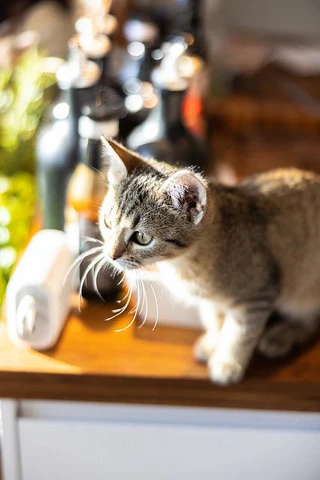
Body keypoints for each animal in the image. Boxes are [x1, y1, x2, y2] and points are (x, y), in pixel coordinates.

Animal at [99, 137, 320, 384]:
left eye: (142, 238)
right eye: (108, 222)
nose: (110, 254)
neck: (186, 264)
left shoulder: (258, 294)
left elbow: (240, 332)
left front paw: (227, 362)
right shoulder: (210, 301)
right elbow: (215, 319)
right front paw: (213, 342)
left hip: (303, 288)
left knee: (309, 320)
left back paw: (281, 336)